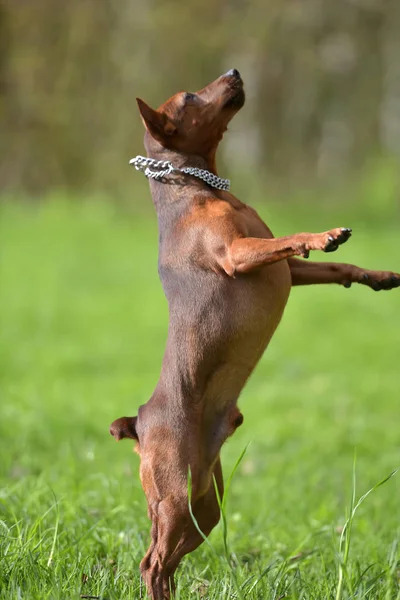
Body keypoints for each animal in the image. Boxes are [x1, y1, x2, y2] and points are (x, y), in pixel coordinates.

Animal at [109, 69, 400, 596]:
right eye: (189, 96)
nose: (234, 72)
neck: (199, 189)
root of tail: (137, 423)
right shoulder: (238, 255)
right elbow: (292, 239)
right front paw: (324, 234)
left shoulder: (284, 269)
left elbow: (334, 266)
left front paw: (379, 276)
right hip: (176, 495)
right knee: (151, 562)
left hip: (205, 506)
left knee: (167, 559)